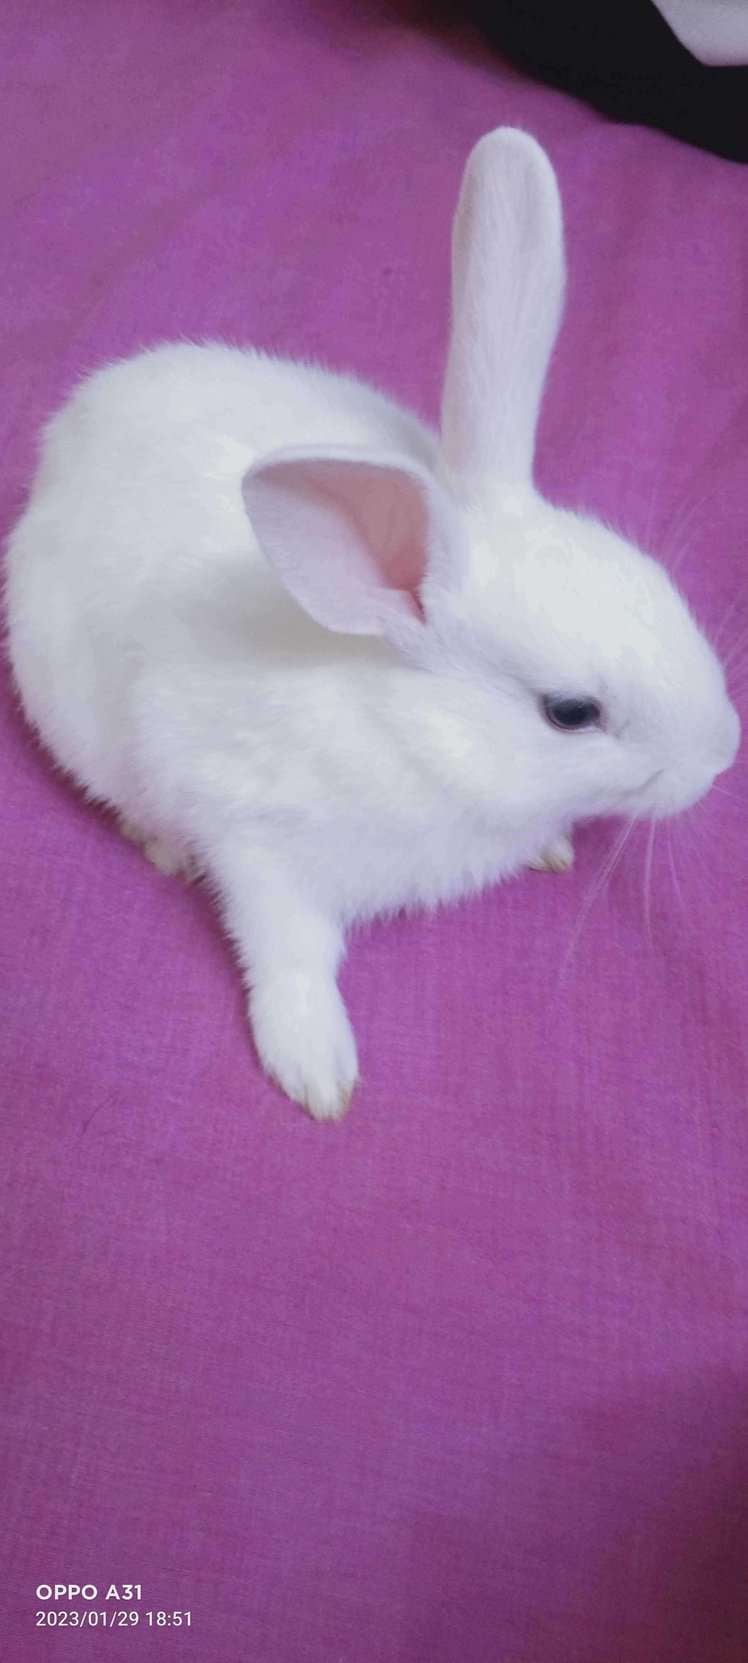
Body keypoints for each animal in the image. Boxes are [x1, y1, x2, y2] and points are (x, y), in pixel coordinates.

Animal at [5, 129, 739, 1120]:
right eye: (570, 712)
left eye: (657, 580)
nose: (724, 754)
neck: (414, 729)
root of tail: (59, 449)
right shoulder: (260, 841)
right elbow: (286, 953)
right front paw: (317, 1067)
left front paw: (550, 845)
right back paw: (159, 845)